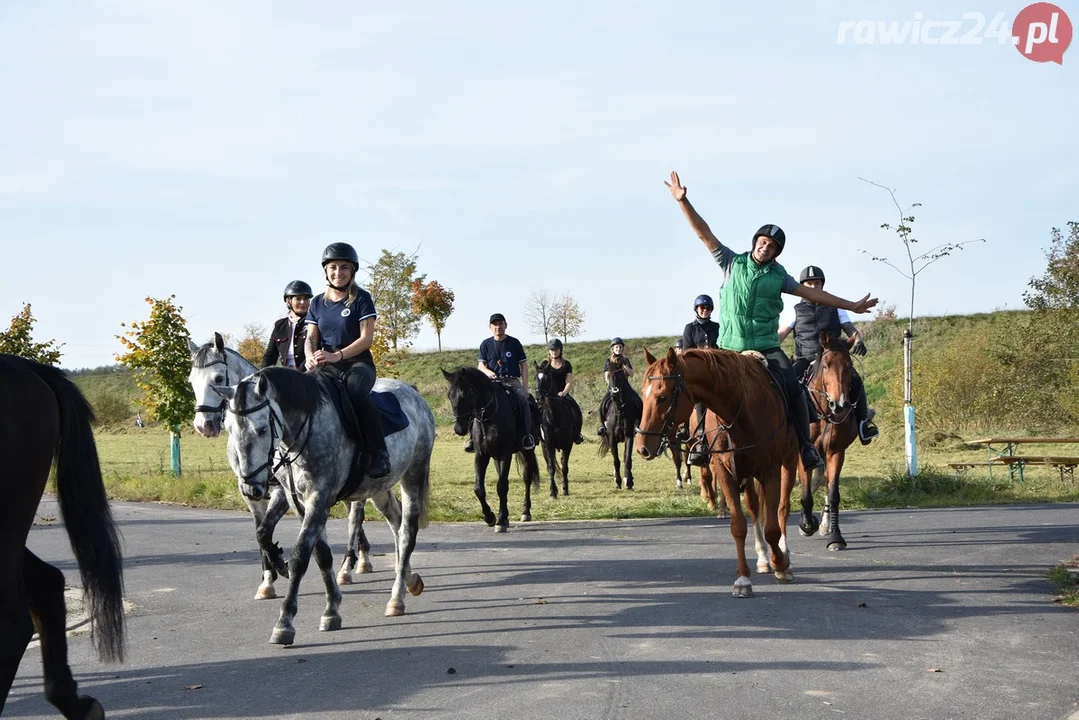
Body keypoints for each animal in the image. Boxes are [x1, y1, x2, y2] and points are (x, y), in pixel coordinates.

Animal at [440, 369, 539, 533]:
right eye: (449, 395)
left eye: (464, 395)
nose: (459, 429)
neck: (489, 418)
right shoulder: (481, 455)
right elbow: (479, 489)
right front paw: (490, 517)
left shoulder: (505, 454)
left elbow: (502, 486)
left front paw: (500, 521)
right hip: (496, 457)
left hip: (527, 452)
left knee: (527, 478)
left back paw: (525, 512)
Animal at [530, 360, 582, 496]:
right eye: (534, 378)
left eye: (547, 378)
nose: (539, 398)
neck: (555, 416)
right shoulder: (549, 444)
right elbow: (551, 467)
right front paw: (553, 491)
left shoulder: (567, 444)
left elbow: (564, 467)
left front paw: (565, 489)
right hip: (544, 446)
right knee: (550, 462)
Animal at [634, 347, 807, 595]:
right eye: (643, 394)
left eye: (662, 397)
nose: (642, 447)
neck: (739, 412)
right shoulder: (725, 472)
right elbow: (738, 526)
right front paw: (743, 579)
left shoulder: (770, 471)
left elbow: (773, 527)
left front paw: (781, 564)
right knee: (755, 508)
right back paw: (763, 558)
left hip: (789, 460)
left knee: (782, 509)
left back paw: (784, 556)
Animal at [802, 334, 858, 552]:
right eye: (825, 365)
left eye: (849, 365)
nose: (840, 404)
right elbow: (806, 494)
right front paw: (806, 524)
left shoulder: (835, 452)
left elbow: (833, 493)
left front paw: (835, 536)